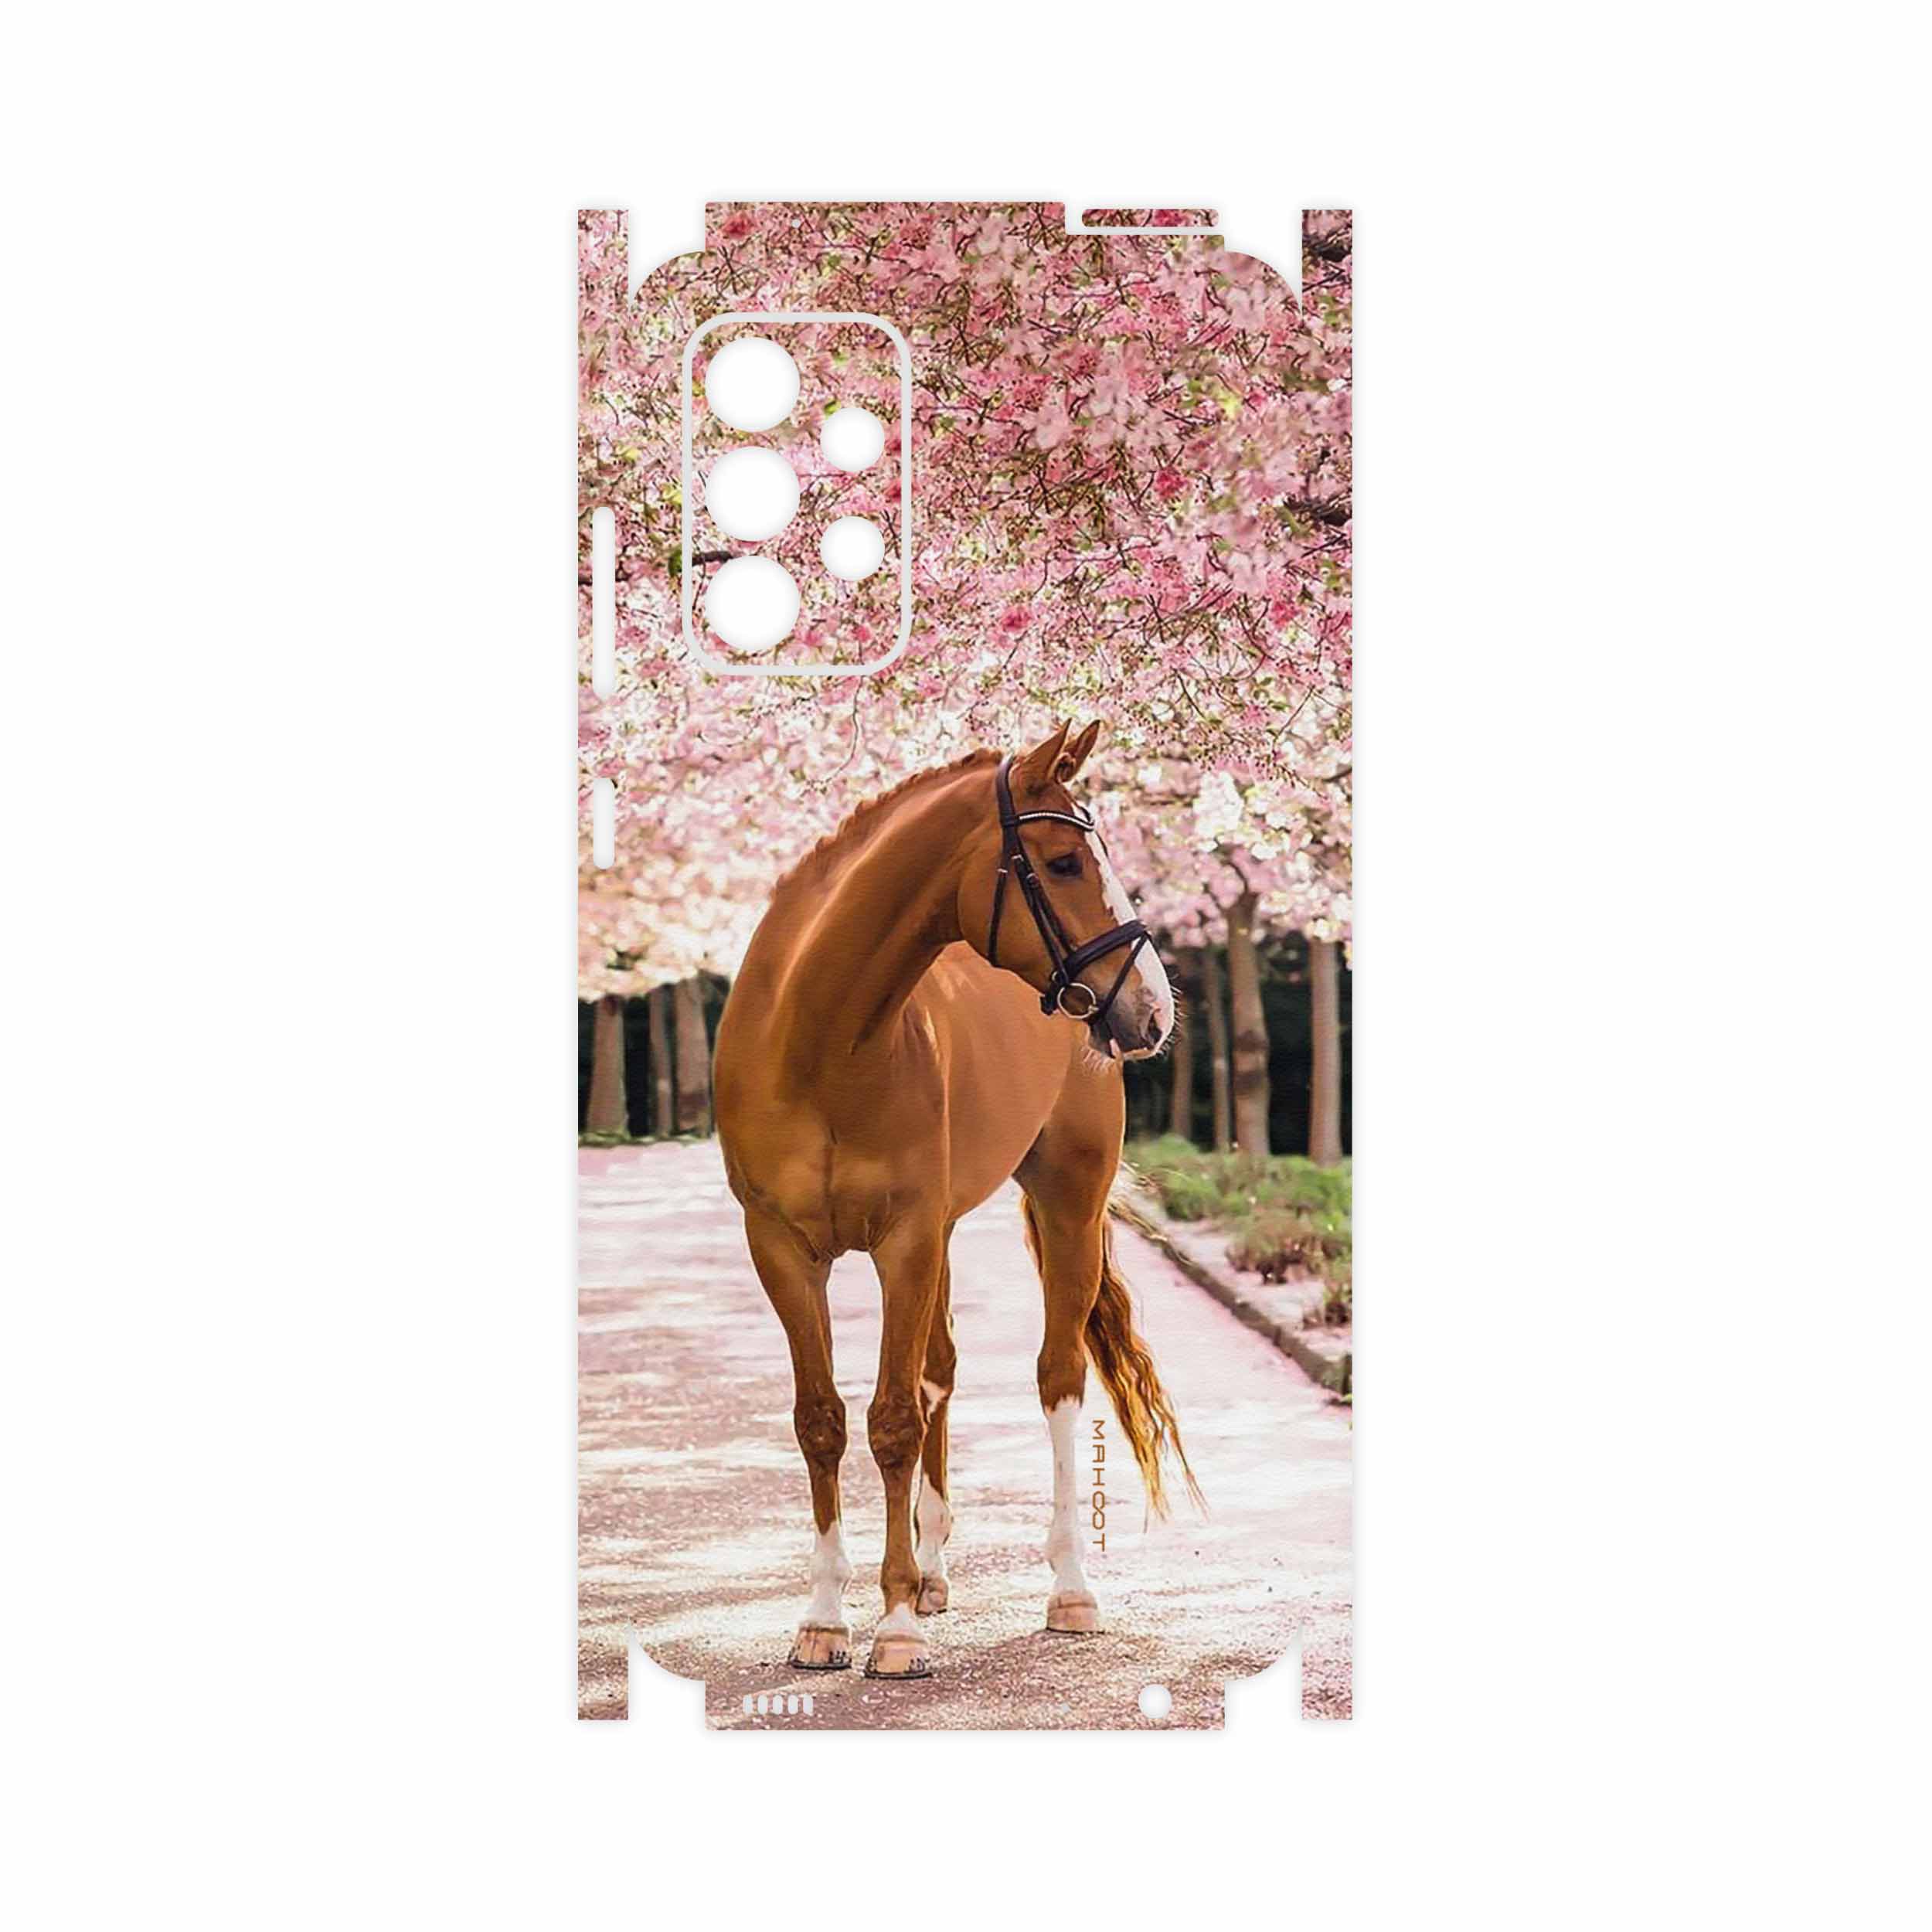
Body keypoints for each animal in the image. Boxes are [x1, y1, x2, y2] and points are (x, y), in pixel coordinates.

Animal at [713, 720, 1197, 1679]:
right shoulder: (782, 1248)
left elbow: (893, 1419)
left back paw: (1067, 1590)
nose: (1153, 1010)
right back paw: (933, 1572)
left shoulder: (903, 1239)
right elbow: (822, 1420)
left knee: (1056, 1377)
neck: (818, 1040)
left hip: (1066, 1204)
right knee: (940, 1370)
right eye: (1061, 862)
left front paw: (894, 1628)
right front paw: (824, 1619)